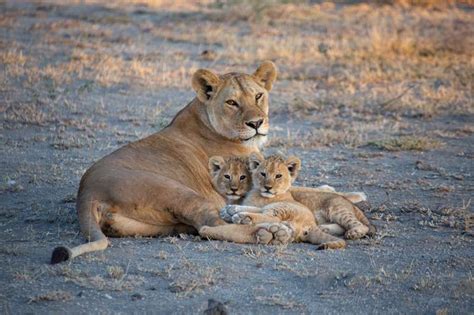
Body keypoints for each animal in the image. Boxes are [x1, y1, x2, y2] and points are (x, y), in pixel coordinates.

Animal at [51, 61, 362, 264]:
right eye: (232, 103)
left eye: (259, 95)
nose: (257, 123)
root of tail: (87, 193)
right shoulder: (247, 184)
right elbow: (296, 188)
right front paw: (348, 194)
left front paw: (335, 191)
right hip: (180, 192)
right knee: (211, 226)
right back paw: (270, 233)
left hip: (156, 225)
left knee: (200, 227)